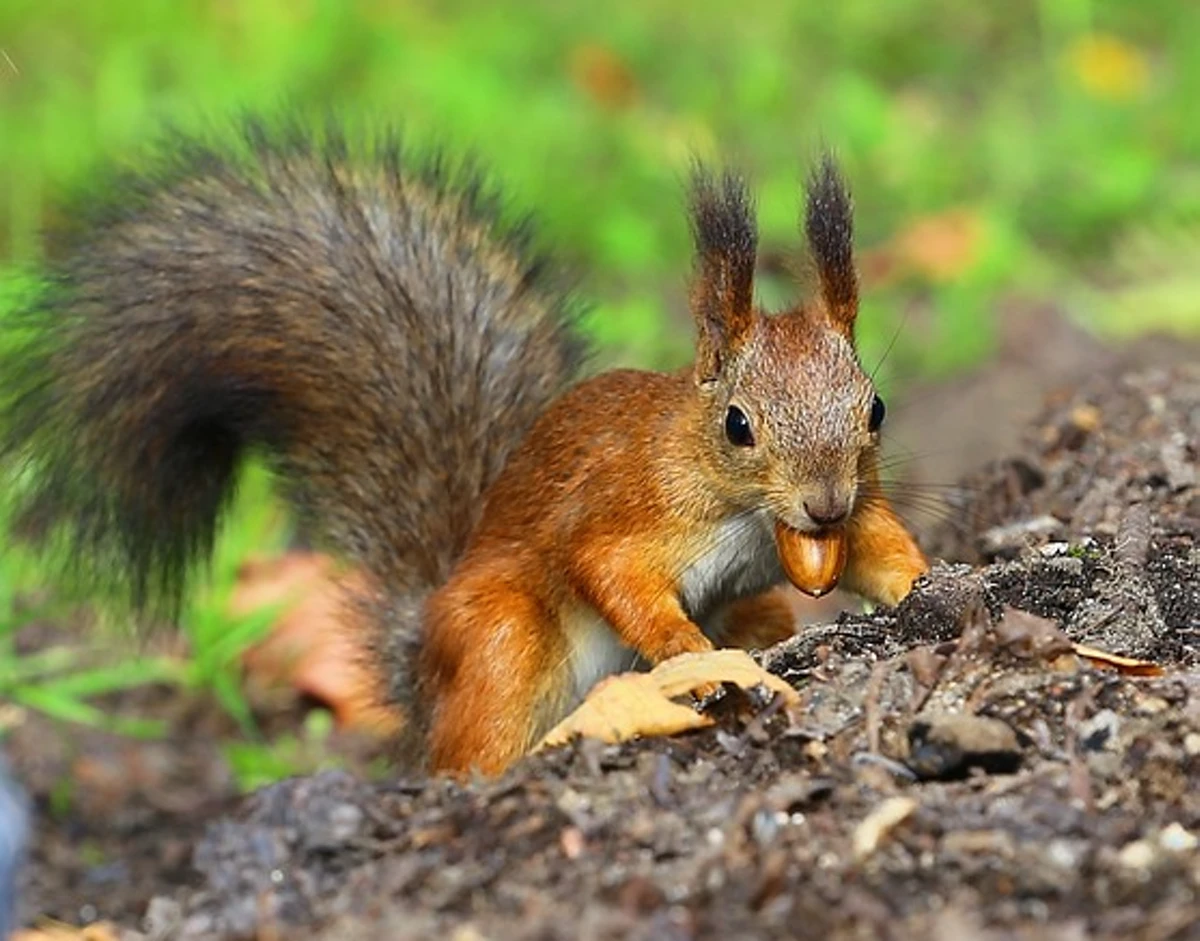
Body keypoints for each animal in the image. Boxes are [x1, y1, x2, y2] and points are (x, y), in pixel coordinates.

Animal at [0, 118, 928, 777]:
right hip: (500, 641)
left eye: (876, 408)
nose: (822, 503)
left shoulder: (851, 514)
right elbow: (613, 575)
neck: (747, 514)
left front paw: (928, 580)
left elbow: (880, 548)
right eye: (739, 424)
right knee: (469, 746)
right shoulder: (627, 508)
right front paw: (690, 656)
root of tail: (420, 661)